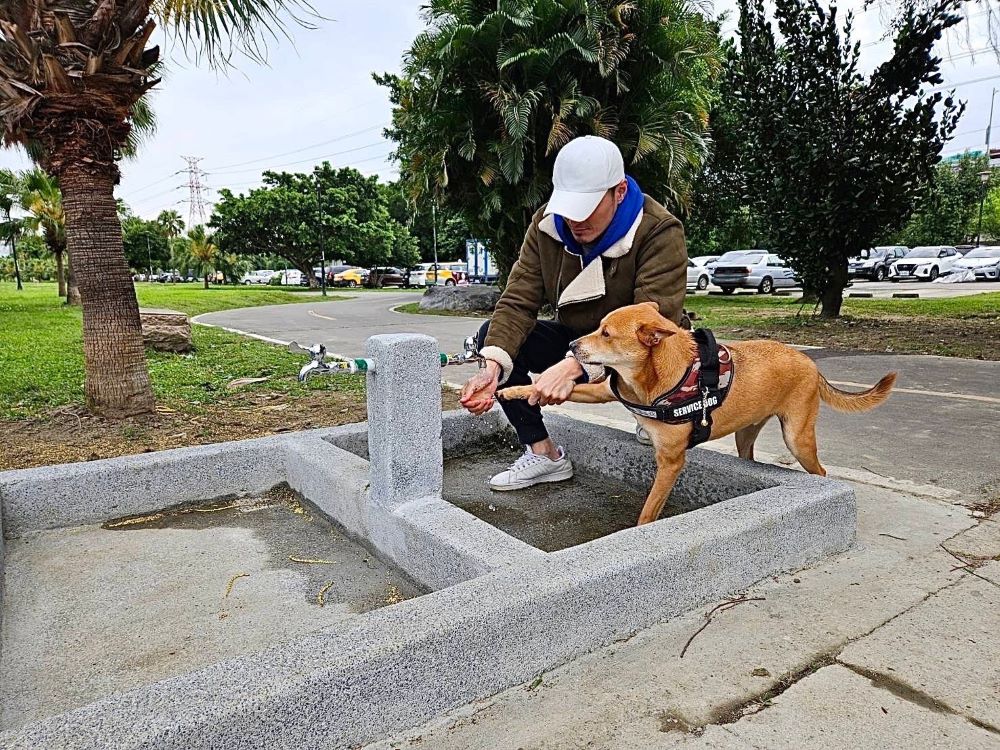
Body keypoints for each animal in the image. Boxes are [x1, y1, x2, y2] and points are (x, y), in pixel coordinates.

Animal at [500, 302, 900, 524]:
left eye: (607, 333)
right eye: (598, 328)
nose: (571, 345)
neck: (654, 377)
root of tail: (811, 364)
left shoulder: (671, 461)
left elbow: (649, 510)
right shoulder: (604, 390)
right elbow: (556, 387)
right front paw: (514, 389)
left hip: (797, 437)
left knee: (821, 470)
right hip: (745, 435)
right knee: (749, 455)